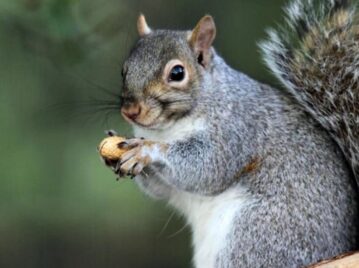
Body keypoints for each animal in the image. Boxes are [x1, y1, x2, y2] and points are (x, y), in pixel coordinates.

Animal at [101, 0, 359, 266]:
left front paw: (148, 151)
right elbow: (162, 189)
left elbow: (208, 167)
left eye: (177, 73)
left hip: (256, 234)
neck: (167, 129)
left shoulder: (235, 130)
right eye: (124, 70)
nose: (130, 111)